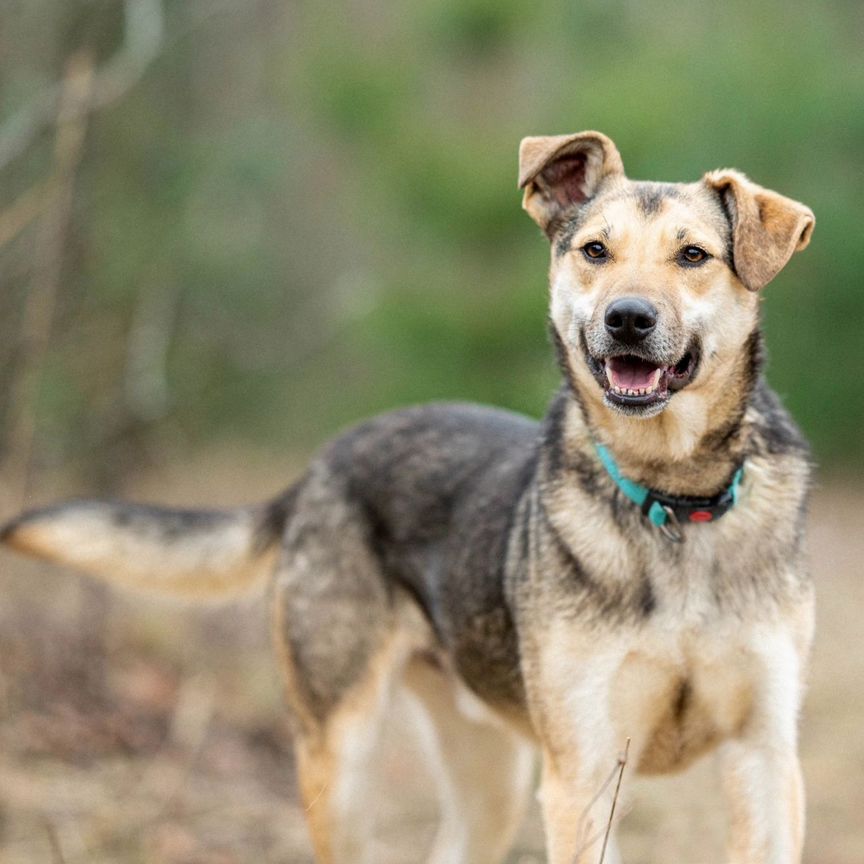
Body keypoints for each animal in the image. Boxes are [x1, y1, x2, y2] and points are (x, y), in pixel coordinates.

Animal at [0, 130, 812, 864]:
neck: (674, 498)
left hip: (491, 778)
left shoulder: (766, 756)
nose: (628, 319)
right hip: (343, 755)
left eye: (693, 256)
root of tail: (324, 461)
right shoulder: (583, 771)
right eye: (594, 252)